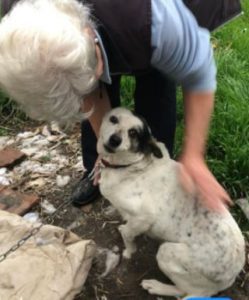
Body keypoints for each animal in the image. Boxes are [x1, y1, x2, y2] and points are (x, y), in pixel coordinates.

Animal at [96, 107, 244, 298]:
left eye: (133, 132)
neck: (134, 166)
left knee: (184, 292)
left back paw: (156, 286)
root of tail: (232, 275)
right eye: (113, 119)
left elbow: (127, 233)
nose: (115, 140)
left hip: (167, 253)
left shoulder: (144, 216)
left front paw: (129, 250)